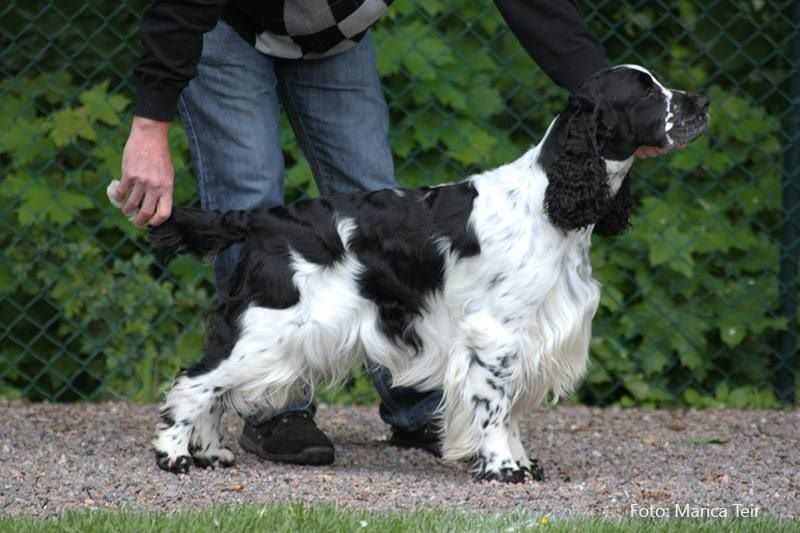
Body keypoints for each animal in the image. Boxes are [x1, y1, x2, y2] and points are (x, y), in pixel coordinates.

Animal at [142, 65, 708, 482]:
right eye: (646, 93)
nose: (702, 103)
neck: (550, 202)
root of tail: (265, 218)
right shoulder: (497, 333)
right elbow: (497, 405)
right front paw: (505, 468)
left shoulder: (529, 336)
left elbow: (511, 407)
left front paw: (521, 461)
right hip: (270, 329)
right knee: (195, 381)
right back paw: (175, 455)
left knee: (214, 390)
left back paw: (210, 452)